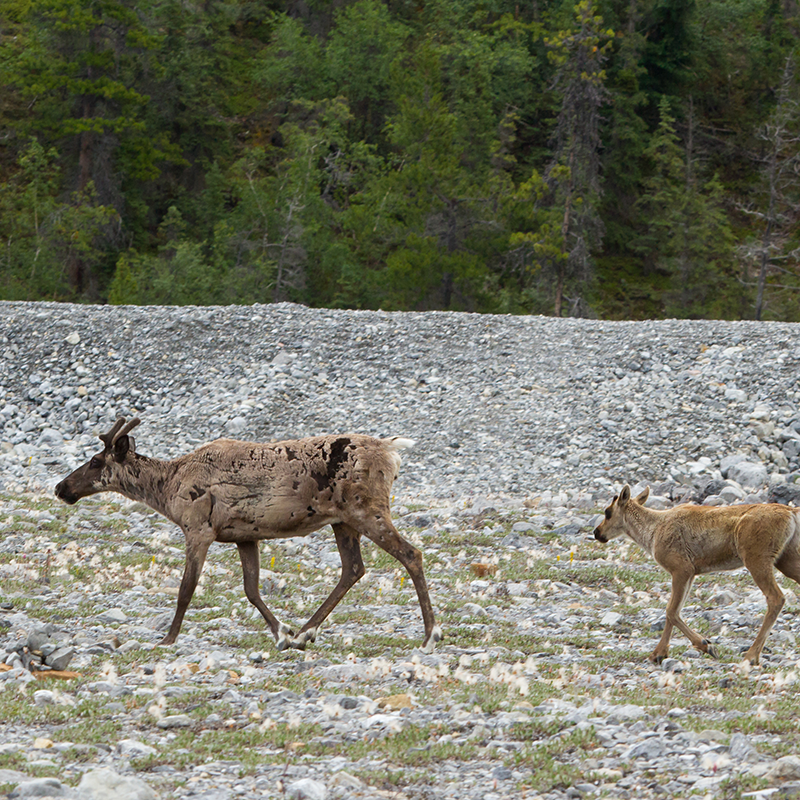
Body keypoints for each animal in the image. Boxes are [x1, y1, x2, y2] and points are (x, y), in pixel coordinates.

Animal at [55, 418, 442, 653]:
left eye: (95, 461)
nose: (61, 488)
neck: (168, 488)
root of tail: (392, 449)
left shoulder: (198, 529)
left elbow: (185, 590)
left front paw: (167, 638)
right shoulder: (245, 536)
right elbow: (252, 590)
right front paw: (282, 633)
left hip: (367, 510)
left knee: (411, 555)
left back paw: (429, 635)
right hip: (342, 521)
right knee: (353, 569)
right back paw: (305, 632)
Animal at [593, 484, 800, 665]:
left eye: (607, 512)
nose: (597, 532)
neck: (651, 534)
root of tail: (792, 513)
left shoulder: (681, 568)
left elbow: (671, 611)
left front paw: (704, 645)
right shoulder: (691, 572)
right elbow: (674, 611)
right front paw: (660, 653)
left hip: (756, 558)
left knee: (776, 598)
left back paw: (751, 656)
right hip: (786, 559)